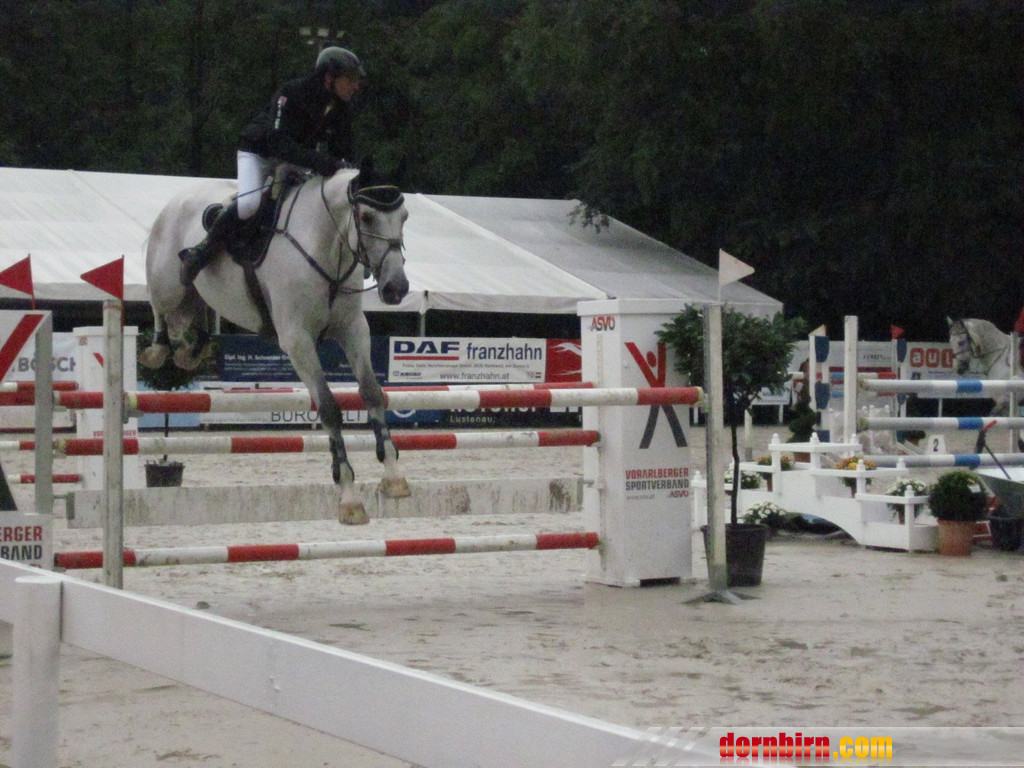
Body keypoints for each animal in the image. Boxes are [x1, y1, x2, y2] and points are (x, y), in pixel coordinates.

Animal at [140, 159, 411, 523]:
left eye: (405, 217)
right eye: (366, 217)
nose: (397, 288)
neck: (326, 247)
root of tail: (178, 198)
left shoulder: (353, 329)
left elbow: (371, 392)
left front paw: (394, 475)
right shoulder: (297, 339)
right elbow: (329, 408)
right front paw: (349, 494)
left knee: (193, 316)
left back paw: (191, 351)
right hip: (167, 282)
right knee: (160, 305)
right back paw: (159, 349)